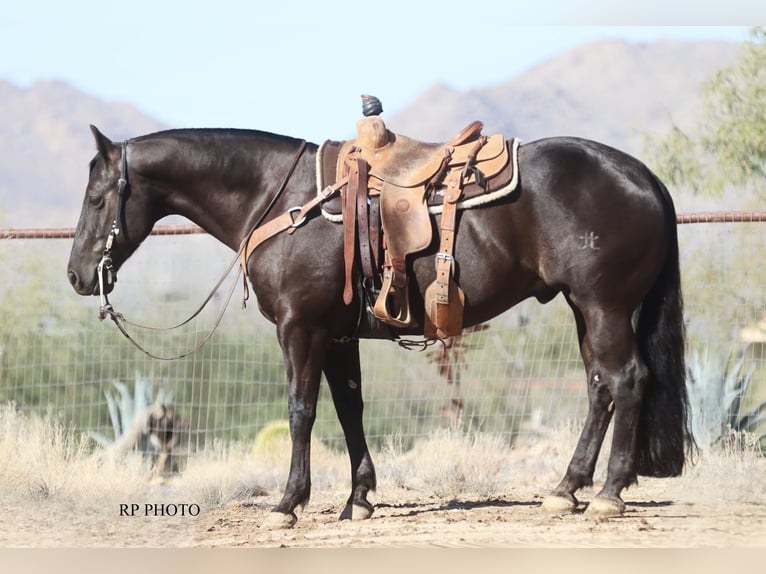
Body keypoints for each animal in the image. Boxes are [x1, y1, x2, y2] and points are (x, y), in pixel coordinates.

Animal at [67, 124, 691, 528]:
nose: (76, 275)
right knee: (600, 387)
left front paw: (288, 504)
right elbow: (349, 409)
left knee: (627, 379)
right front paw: (359, 499)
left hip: (604, 307)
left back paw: (609, 492)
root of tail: (642, 175)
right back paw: (567, 489)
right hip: (585, 309)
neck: (284, 200)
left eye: (96, 198)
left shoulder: (300, 330)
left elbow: (301, 410)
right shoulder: (339, 336)